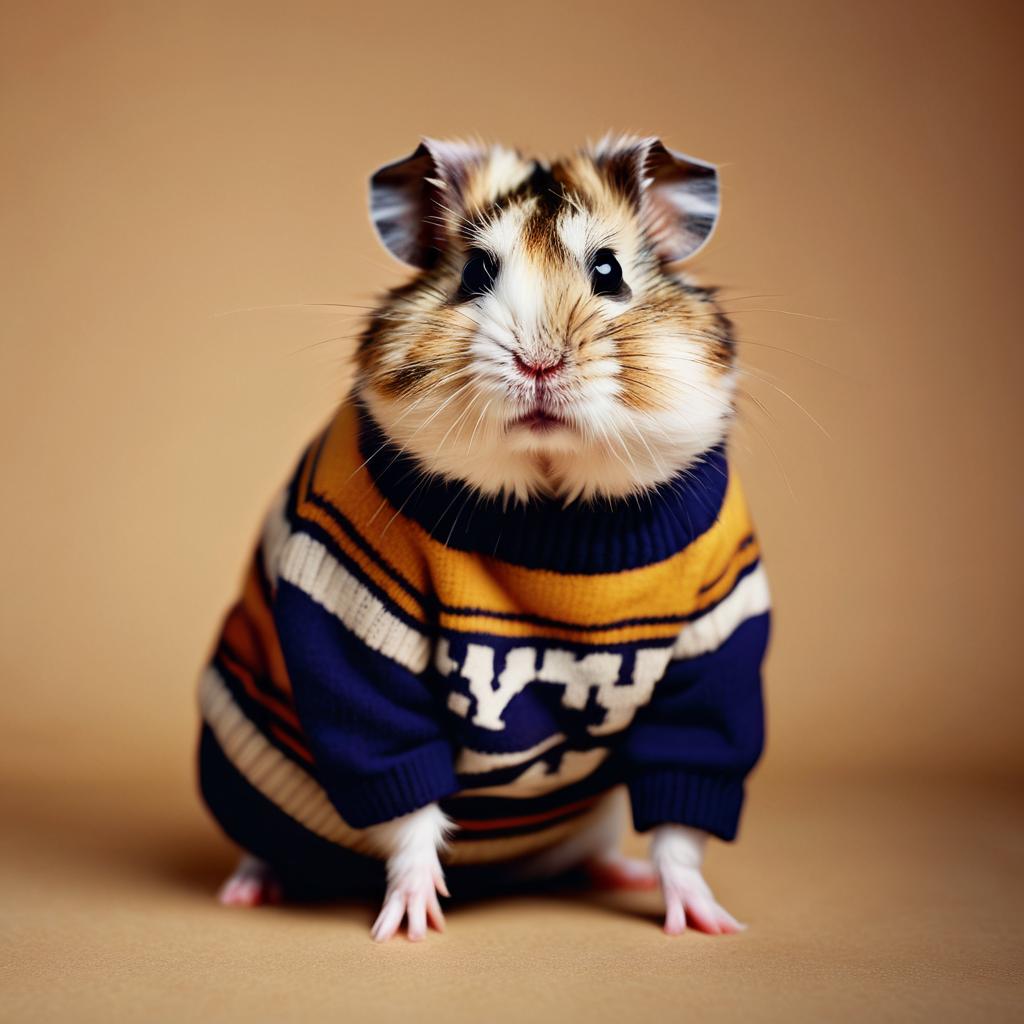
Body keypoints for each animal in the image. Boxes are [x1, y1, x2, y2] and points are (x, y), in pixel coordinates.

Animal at [197, 138, 770, 942]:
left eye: (609, 270)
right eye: (474, 274)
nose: (539, 364)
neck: (551, 500)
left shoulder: (716, 648)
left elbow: (683, 809)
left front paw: (709, 924)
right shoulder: (356, 641)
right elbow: (403, 796)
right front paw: (410, 924)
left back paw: (617, 873)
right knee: (262, 846)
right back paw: (247, 892)